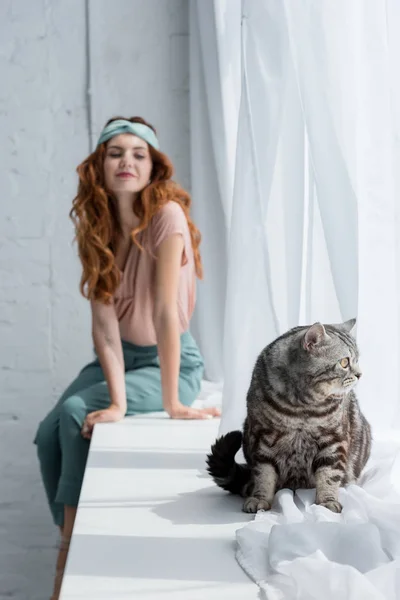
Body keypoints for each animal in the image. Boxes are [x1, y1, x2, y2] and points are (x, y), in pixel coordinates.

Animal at [206, 322, 372, 512]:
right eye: (344, 362)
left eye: (357, 360)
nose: (360, 374)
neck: (302, 408)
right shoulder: (263, 440)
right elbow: (263, 475)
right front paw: (260, 498)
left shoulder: (334, 440)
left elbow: (329, 475)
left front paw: (327, 501)